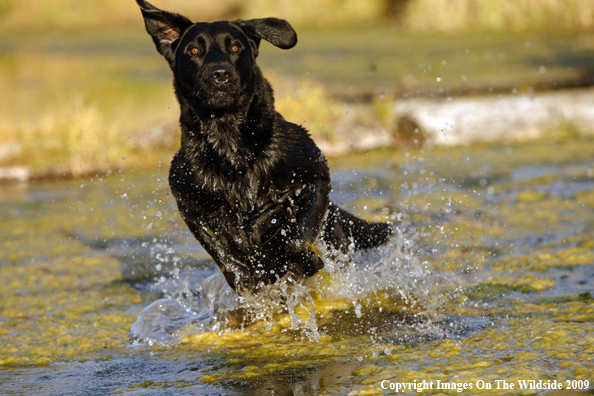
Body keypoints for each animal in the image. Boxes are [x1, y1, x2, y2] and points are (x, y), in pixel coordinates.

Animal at [136, 0, 390, 294]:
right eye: (194, 50)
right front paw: (250, 276)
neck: (231, 147)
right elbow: (227, 257)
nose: (220, 75)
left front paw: (305, 261)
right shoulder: (190, 207)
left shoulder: (315, 177)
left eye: (235, 48)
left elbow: (296, 238)